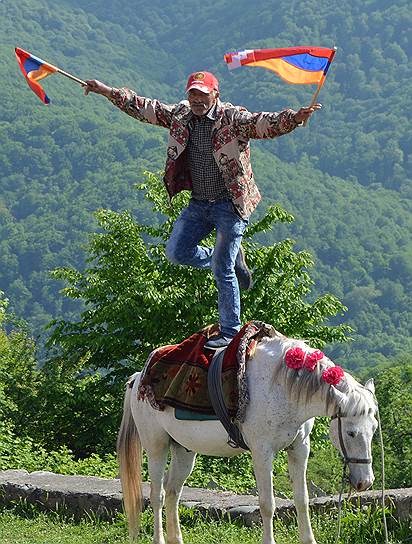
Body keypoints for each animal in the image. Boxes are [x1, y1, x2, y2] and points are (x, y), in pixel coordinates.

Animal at [116, 330, 376, 540]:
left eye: (373, 430)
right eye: (351, 432)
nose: (365, 482)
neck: (281, 387)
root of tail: (138, 379)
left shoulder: (299, 449)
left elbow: (302, 500)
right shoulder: (262, 453)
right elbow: (267, 505)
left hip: (184, 450)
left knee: (172, 492)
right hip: (156, 446)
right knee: (157, 495)